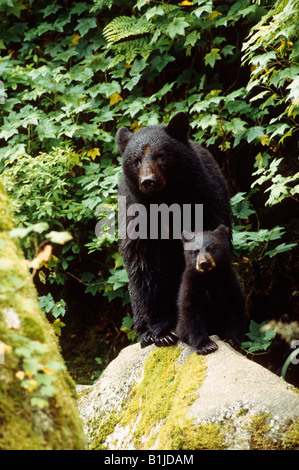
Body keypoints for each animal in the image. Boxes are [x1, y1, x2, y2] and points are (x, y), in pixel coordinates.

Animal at [116, 113, 232, 348]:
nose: (148, 181)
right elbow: (146, 266)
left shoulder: (205, 201)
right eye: (136, 160)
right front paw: (163, 332)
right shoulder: (137, 219)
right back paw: (145, 333)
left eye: (160, 156)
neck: (166, 202)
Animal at [178, 226, 246, 354]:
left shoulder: (230, 284)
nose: (203, 263)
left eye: (212, 248)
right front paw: (206, 346)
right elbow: (192, 314)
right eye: (195, 251)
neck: (209, 278)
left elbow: (235, 309)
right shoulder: (191, 287)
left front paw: (232, 340)